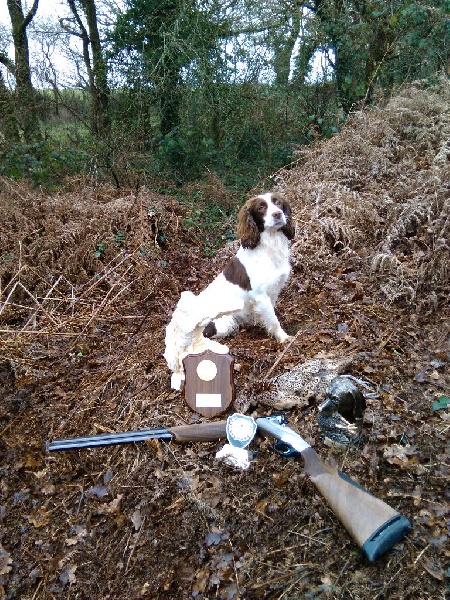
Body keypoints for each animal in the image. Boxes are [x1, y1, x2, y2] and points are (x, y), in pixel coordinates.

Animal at [200, 192, 296, 342]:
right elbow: (274, 321)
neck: (269, 247)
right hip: (223, 322)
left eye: (278, 203)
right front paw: (283, 338)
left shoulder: (273, 292)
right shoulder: (261, 296)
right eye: (261, 207)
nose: (278, 214)